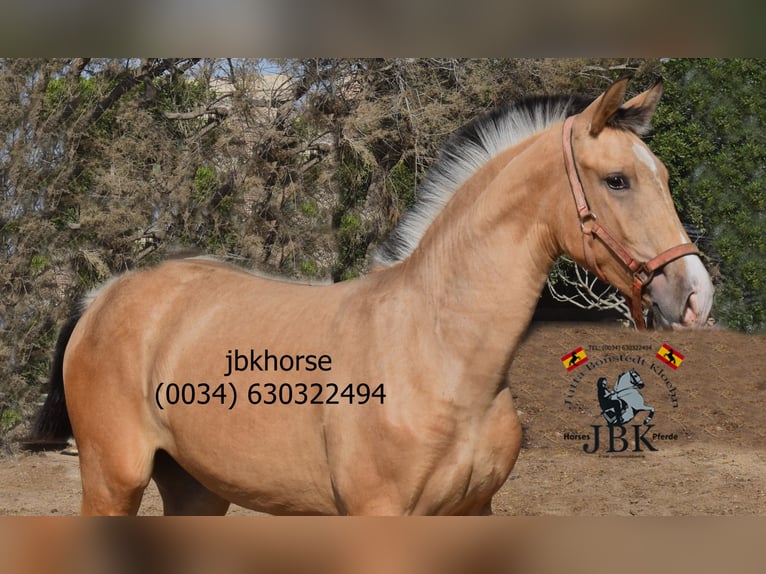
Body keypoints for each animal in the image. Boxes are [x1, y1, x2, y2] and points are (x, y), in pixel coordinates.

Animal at [31, 77, 712, 516]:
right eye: (617, 180)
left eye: (663, 176)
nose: (695, 296)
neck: (440, 352)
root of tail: (102, 298)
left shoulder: (472, 512)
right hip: (112, 482)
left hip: (196, 490)